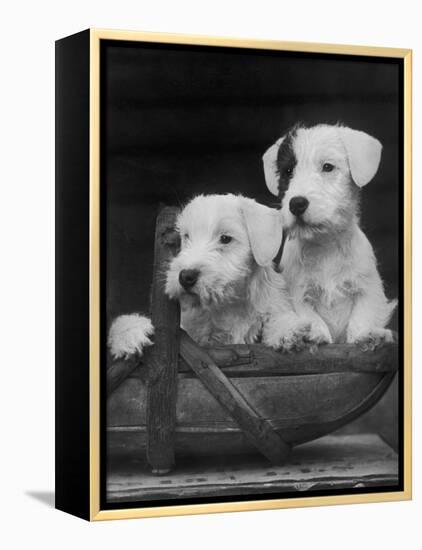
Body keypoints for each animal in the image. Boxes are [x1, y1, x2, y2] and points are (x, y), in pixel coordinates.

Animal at [262, 124, 398, 350]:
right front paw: (311, 334)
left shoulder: (368, 289)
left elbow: (362, 316)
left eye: (328, 167)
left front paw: (366, 335)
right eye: (288, 171)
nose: (296, 203)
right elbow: (309, 316)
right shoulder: (296, 293)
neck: (325, 246)